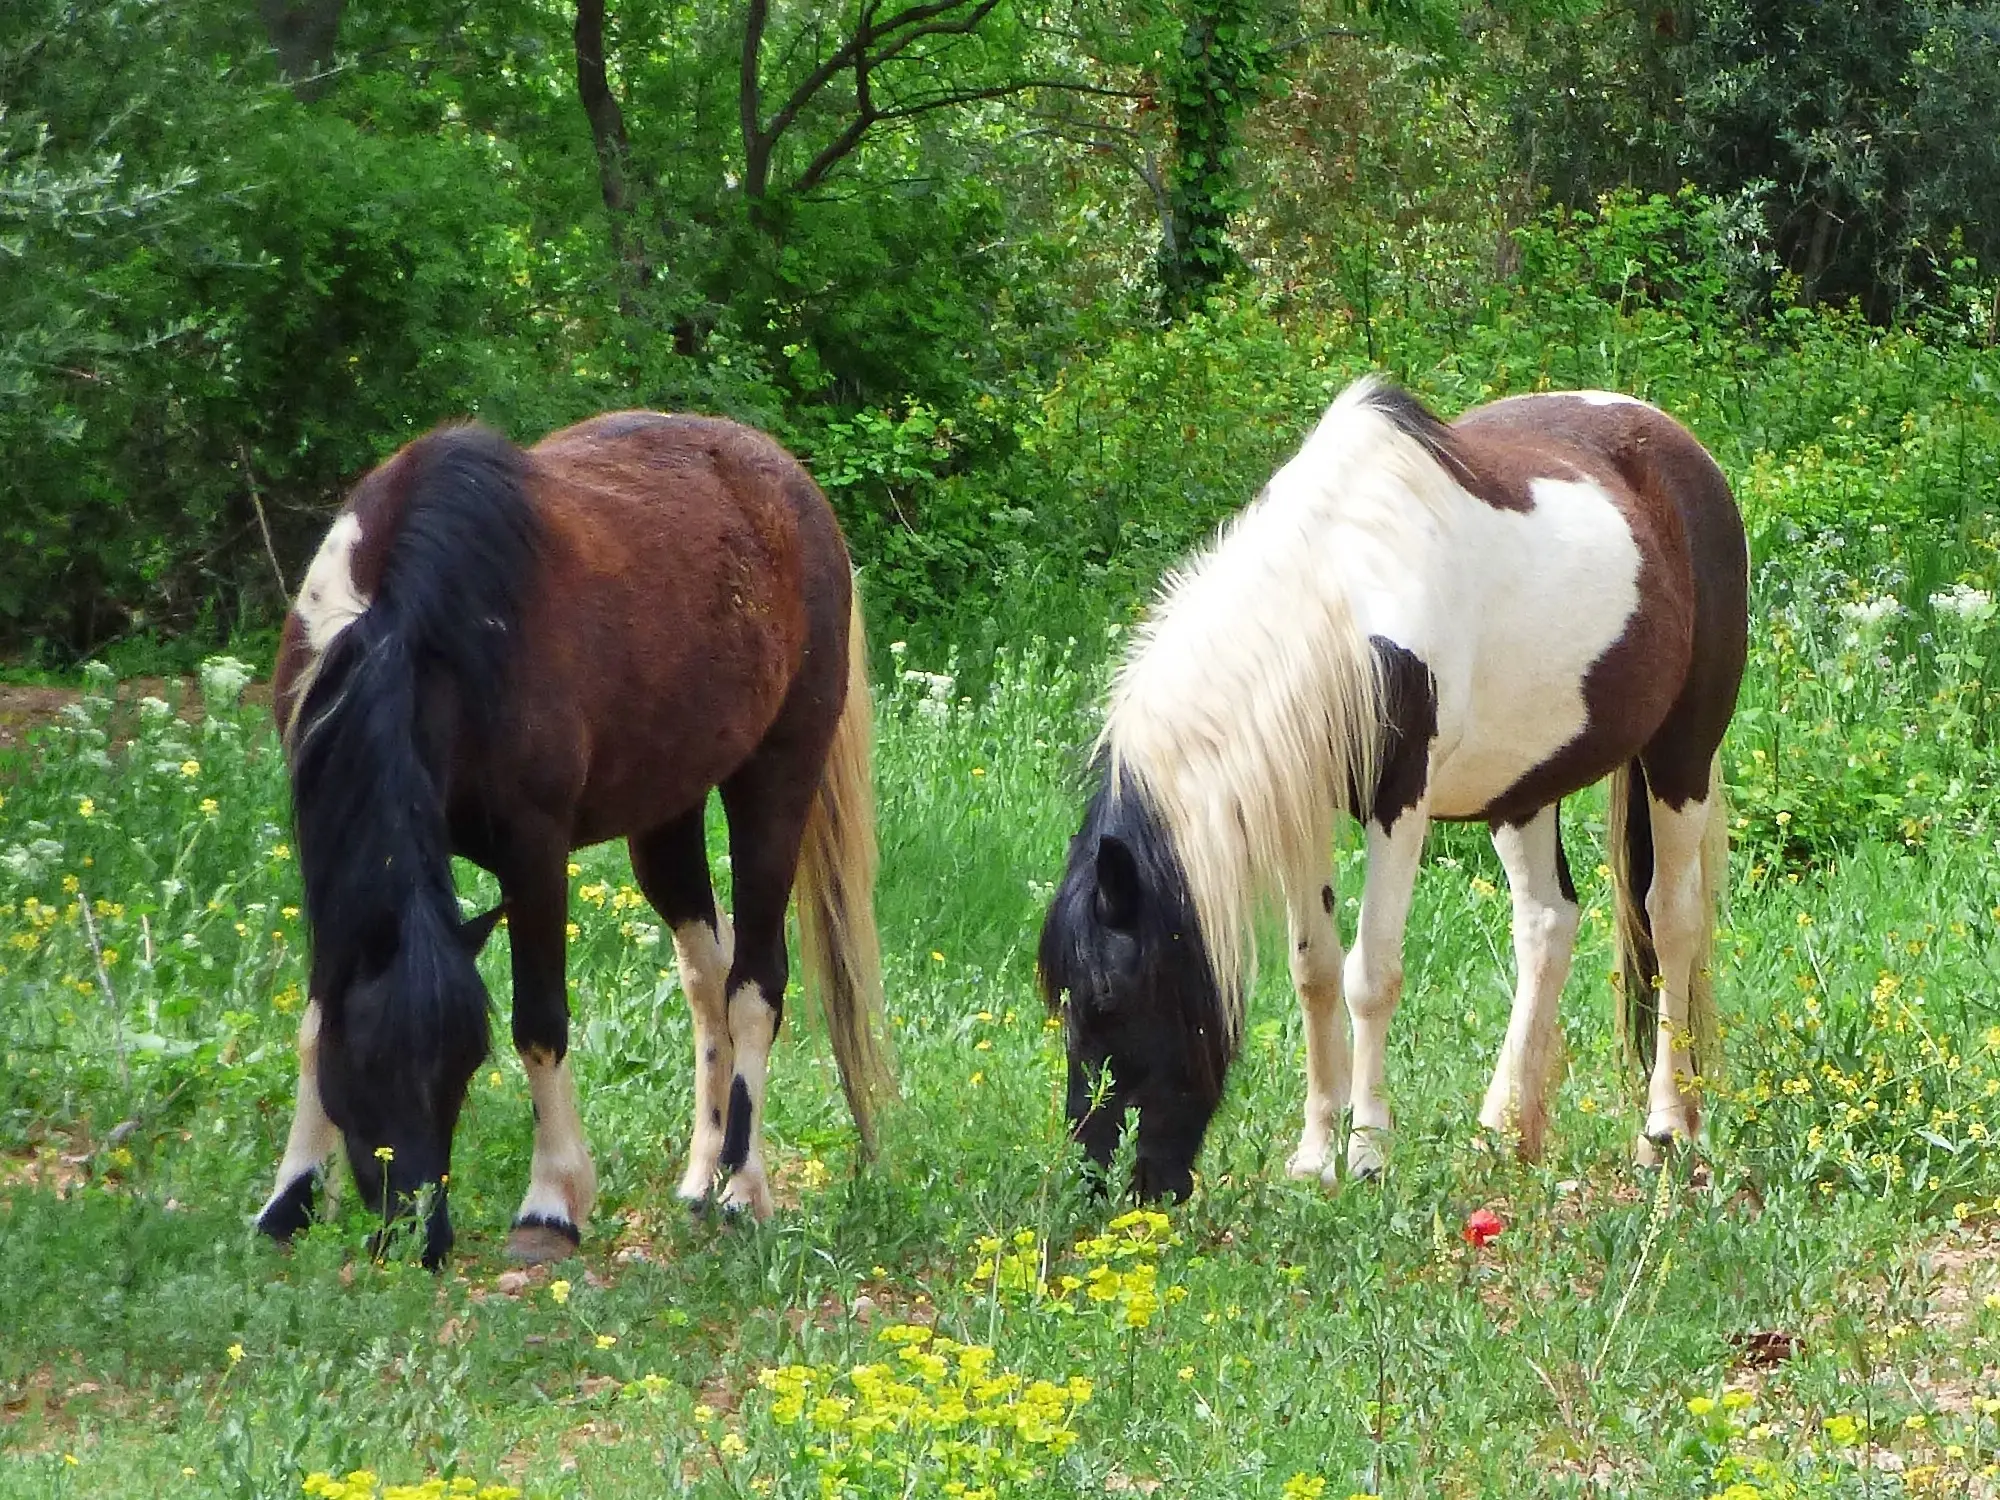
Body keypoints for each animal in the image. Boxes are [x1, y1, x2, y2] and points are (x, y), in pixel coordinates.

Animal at [254, 412, 896, 1272]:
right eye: (364, 1066)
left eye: (462, 1066)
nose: (421, 1234)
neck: (405, 632)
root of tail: (793, 488)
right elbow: (317, 1013)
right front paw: (288, 1200)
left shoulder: (534, 851)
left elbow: (540, 1022)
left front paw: (551, 1204)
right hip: (667, 814)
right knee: (708, 978)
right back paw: (700, 1176)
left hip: (776, 786)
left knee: (754, 985)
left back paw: (740, 1189)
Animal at [1040, 382, 1744, 1208]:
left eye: (1107, 1003)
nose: (1108, 1184)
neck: (1341, 603)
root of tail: (1675, 441)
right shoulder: (1302, 806)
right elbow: (1314, 974)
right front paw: (1316, 1155)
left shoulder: (1399, 804)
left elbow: (1370, 977)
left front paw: (1369, 1153)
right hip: (1525, 785)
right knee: (1547, 923)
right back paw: (1504, 1132)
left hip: (1682, 753)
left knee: (1671, 918)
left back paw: (1666, 1131)